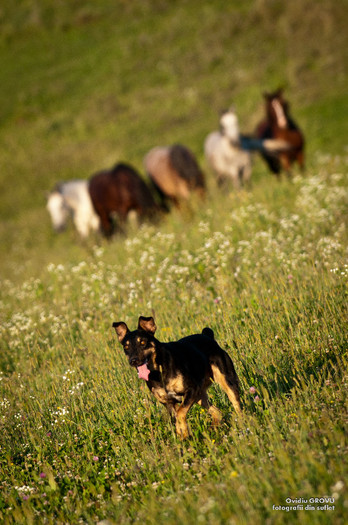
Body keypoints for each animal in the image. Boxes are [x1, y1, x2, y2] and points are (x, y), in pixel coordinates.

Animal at [112, 316, 242, 438]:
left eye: (143, 343)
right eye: (126, 347)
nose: (133, 361)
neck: (159, 371)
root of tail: (207, 336)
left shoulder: (191, 390)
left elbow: (180, 413)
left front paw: (183, 432)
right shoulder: (169, 402)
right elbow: (177, 418)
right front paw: (183, 438)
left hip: (226, 381)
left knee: (237, 406)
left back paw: (242, 424)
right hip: (200, 396)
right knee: (217, 412)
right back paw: (213, 430)